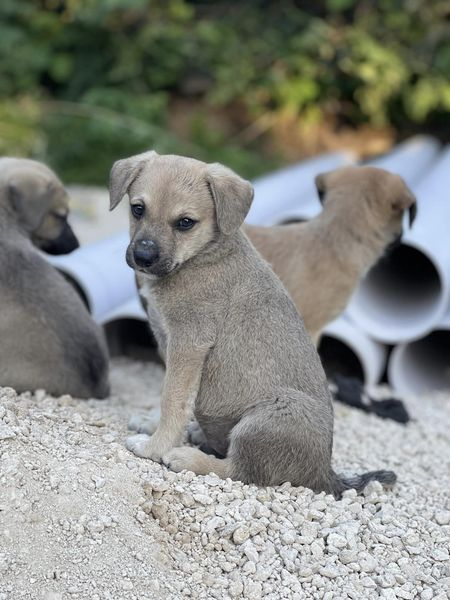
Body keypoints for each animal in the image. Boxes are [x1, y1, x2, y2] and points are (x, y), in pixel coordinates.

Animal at [110, 151, 396, 496]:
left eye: (185, 223)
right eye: (138, 209)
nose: (143, 257)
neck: (204, 255)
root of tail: (324, 473)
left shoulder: (189, 342)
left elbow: (173, 399)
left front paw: (155, 446)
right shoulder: (169, 342)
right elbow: (174, 394)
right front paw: (153, 425)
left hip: (267, 418)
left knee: (239, 470)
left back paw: (187, 457)